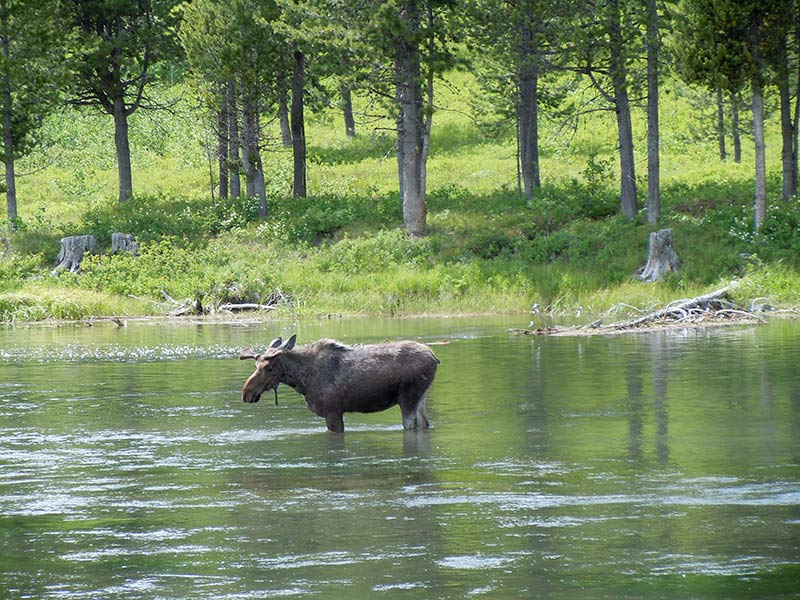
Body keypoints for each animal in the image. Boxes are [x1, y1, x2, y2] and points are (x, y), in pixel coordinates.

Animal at [239, 338, 438, 432]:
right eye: (255, 365)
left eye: (269, 367)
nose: (246, 393)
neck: (302, 381)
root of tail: (435, 358)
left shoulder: (332, 412)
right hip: (422, 397)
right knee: (425, 423)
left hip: (408, 397)